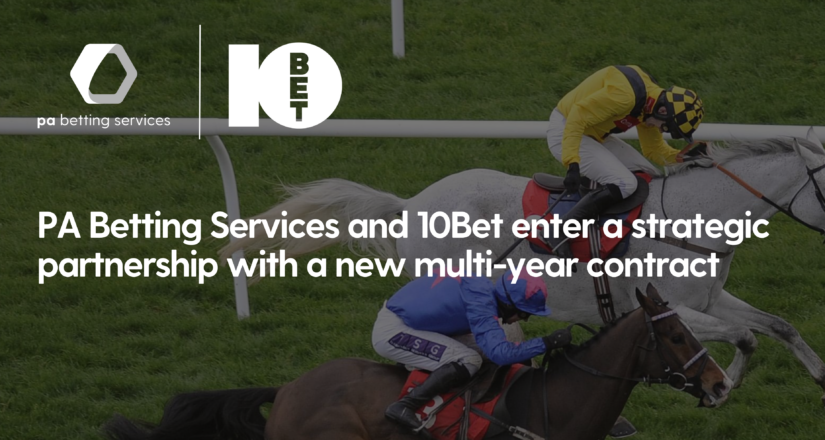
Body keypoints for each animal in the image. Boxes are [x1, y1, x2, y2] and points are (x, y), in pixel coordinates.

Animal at [220, 135, 825, 405]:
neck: (692, 218)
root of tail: (410, 203)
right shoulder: (667, 307)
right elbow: (746, 336)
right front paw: (722, 387)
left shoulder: (708, 299)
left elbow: (777, 326)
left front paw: (817, 374)